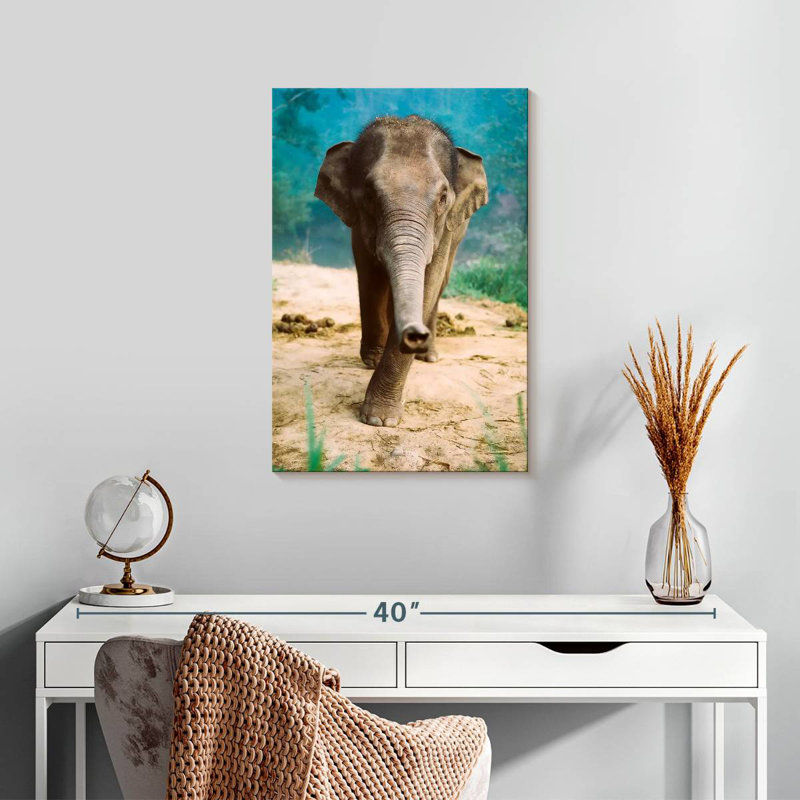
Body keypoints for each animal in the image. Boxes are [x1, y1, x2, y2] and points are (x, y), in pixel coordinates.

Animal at [315, 114, 489, 427]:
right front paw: (373, 373)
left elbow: (430, 283)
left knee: (442, 283)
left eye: (443, 197)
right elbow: (369, 274)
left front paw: (380, 419)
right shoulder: (357, 222)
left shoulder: (446, 227)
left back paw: (429, 357)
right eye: (370, 195)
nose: (414, 335)